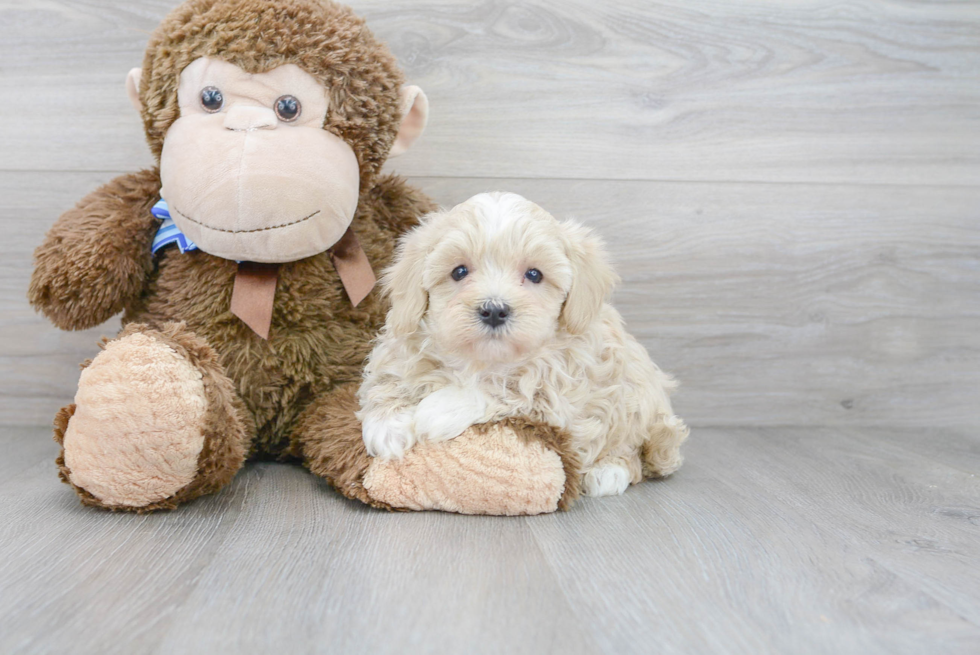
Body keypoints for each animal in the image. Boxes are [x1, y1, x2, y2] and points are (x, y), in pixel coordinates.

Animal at [360, 192, 688, 494]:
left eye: (534, 274)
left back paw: (609, 471)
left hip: (637, 396)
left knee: (632, 447)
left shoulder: (557, 393)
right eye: (459, 271)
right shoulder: (402, 347)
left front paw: (437, 411)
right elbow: (388, 380)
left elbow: (506, 389)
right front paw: (387, 426)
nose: (494, 310)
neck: (482, 360)